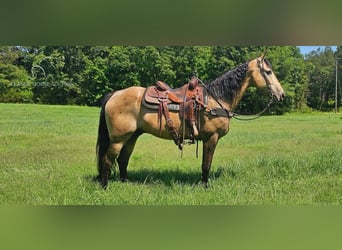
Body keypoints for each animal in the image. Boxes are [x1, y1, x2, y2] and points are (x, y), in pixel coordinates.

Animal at [95, 54, 284, 188]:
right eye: (268, 72)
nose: (281, 95)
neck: (216, 99)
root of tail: (115, 94)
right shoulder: (211, 138)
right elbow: (206, 165)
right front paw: (205, 186)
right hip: (118, 139)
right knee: (107, 160)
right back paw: (105, 186)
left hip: (132, 136)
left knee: (123, 160)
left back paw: (124, 182)